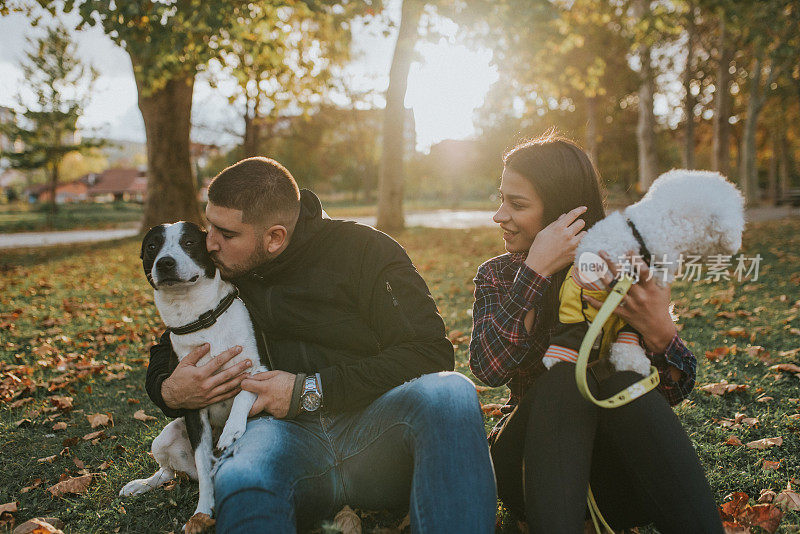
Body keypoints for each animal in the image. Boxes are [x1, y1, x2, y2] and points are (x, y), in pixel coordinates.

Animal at [119, 221, 268, 528]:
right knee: (169, 472)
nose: (164, 262)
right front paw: (202, 511)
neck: (200, 320)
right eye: (152, 246)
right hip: (164, 439)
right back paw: (140, 484)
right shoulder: (193, 403)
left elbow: (245, 389)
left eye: (189, 242)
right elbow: (203, 463)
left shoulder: (261, 367)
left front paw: (232, 430)